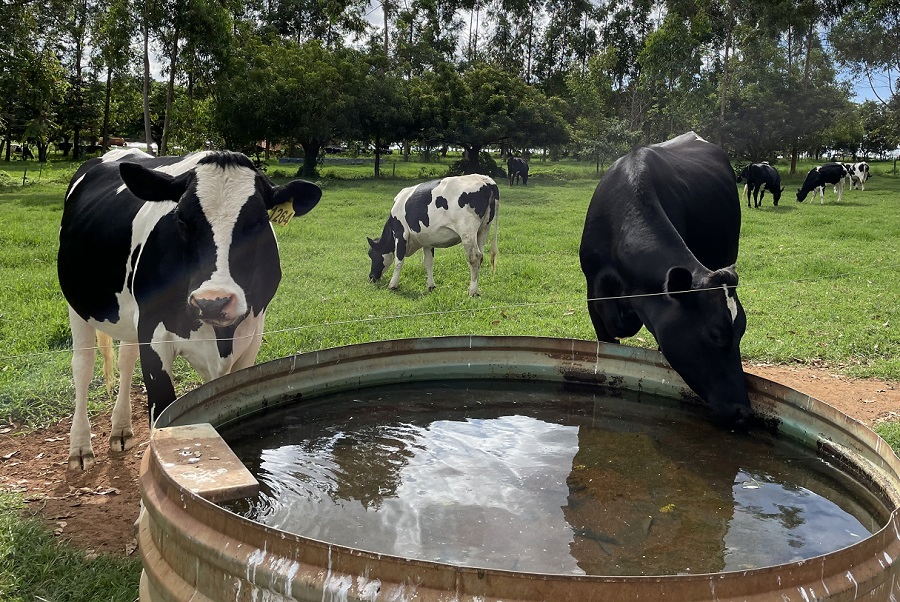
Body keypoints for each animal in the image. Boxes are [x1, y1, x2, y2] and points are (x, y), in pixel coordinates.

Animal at [58, 148, 324, 466]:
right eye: (182, 220)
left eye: (258, 221)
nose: (213, 301)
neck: (221, 339)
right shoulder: (153, 332)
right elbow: (161, 412)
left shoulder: (251, 336)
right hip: (78, 304)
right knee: (83, 367)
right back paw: (80, 448)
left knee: (125, 359)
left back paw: (120, 430)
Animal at [370, 173, 502, 296]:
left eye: (371, 254)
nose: (371, 277)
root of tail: (486, 180)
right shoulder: (427, 240)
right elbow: (428, 262)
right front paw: (431, 286)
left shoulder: (400, 234)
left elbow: (398, 261)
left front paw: (392, 285)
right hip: (483, 229)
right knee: (481, 256)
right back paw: (476, 290)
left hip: (467, 231)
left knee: (475, 257)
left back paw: (472, 292)